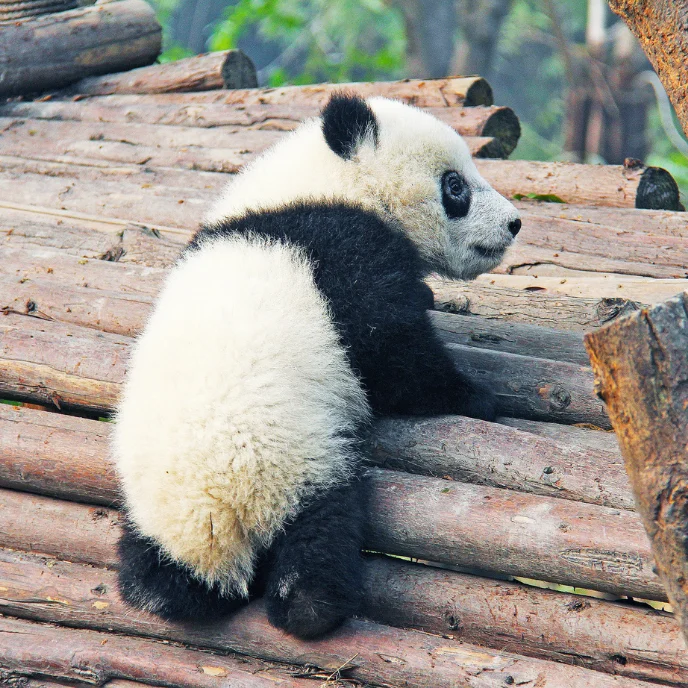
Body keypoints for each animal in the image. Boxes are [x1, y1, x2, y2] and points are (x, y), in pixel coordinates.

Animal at [113, 92, 521, 640]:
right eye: (455, 186)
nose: (514, 223)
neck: (323, 183)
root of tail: (214, 517)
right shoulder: (343, 251)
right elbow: (393, 355)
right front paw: (477, 396)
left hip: (153, 508)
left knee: (155, 571)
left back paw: (161, 589)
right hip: (297, 459)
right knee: (321, 530)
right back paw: (313, 606)